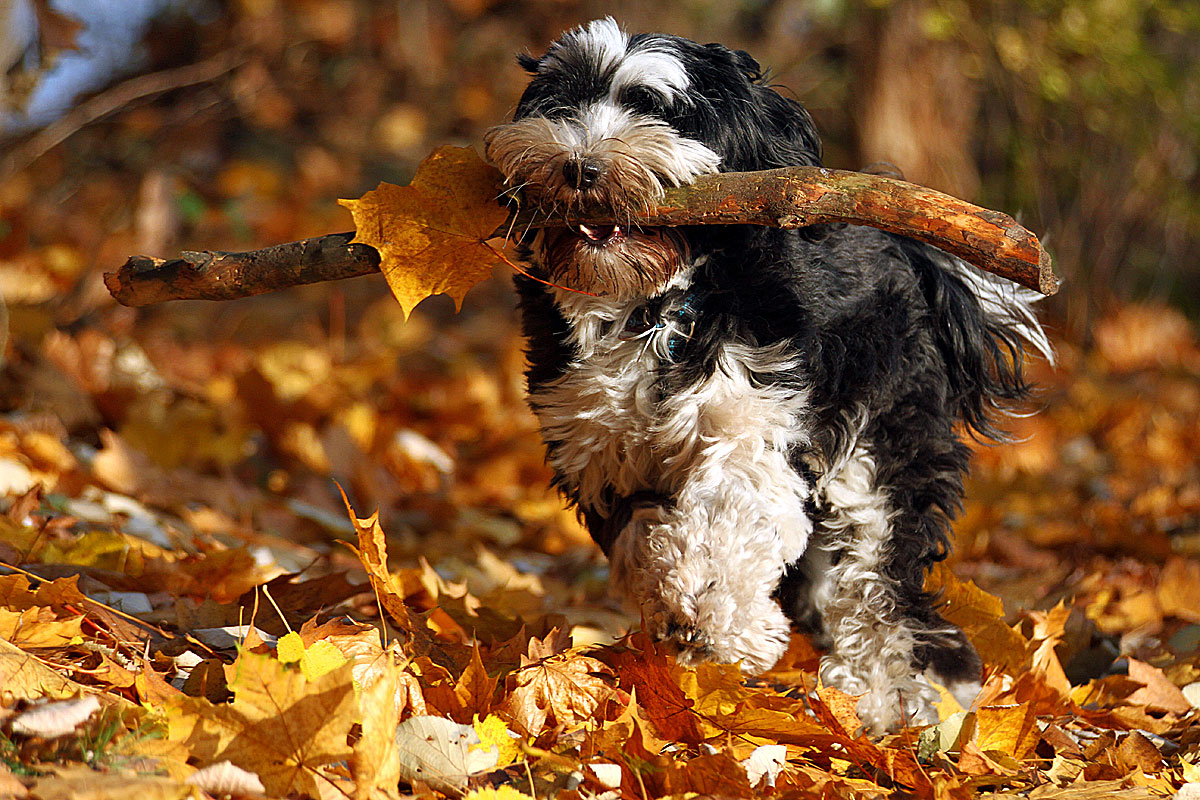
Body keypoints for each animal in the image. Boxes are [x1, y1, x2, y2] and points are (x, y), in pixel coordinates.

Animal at [482, 17, 1046, 734]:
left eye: (656, 109)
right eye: (562, 102)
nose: (579, 164)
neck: (655, 307)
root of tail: (917, 255)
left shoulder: (757, 423)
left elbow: (730, 514)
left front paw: (722, 619)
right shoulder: (604, 455)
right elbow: (646, 537)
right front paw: (678, 609)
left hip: (880, 451)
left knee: (880, 581)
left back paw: (898, 696)